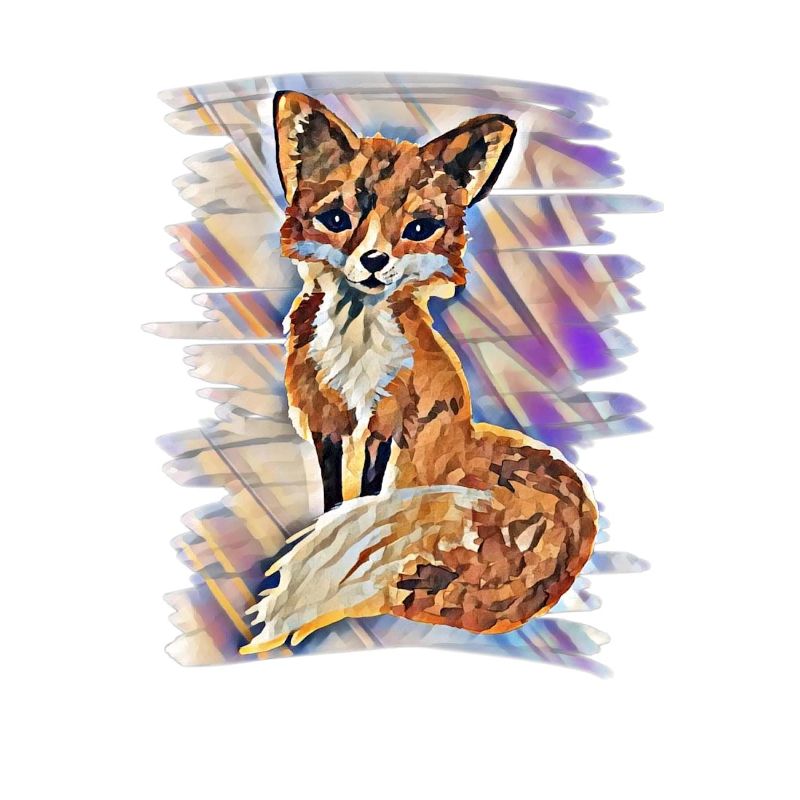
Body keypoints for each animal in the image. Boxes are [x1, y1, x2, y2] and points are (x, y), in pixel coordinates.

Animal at [241, 91, 598, 655]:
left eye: (419, 229)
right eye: (336, 218)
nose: (373, 261)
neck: (357, 344)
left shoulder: (388, 416)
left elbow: (365, 493)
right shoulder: (325, 417)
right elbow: (333, 495)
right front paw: (328, 520)